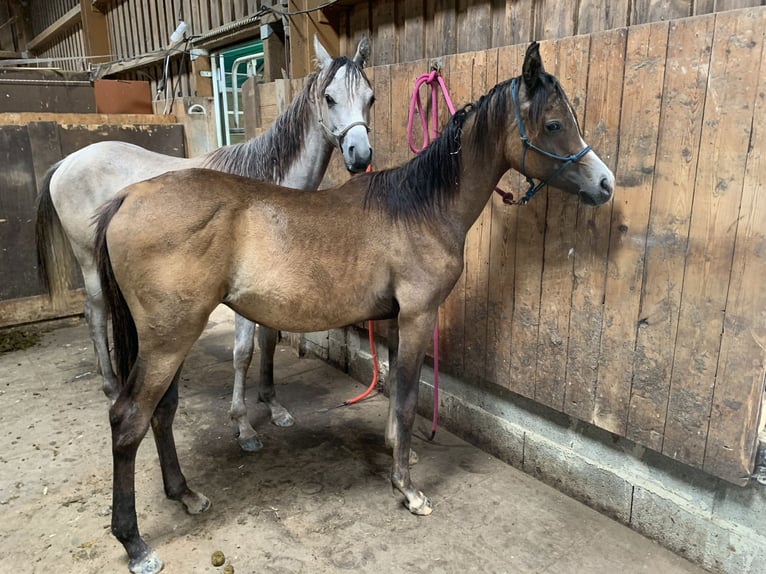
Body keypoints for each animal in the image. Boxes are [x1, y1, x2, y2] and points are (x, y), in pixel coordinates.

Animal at [93, 44, 616, 574]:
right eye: (553, 124)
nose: (605, 183)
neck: (421, 207)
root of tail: (129, 197)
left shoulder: (396, 322)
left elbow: (395, 393)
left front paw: (397, 455)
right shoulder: (418, 317)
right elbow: (407, 399)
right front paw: (407, 490)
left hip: (170, 339)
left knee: (162, 413)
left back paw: (185, 494)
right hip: (168, 340)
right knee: (128, 420)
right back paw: (135, 543)